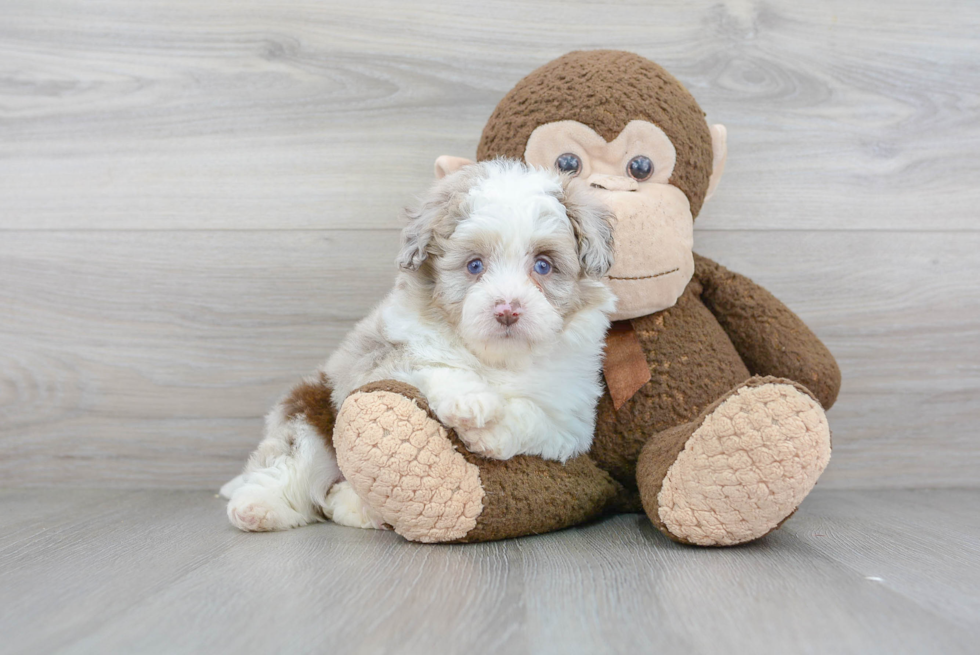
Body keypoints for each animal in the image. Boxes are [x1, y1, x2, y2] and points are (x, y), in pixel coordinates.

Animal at [222, 159, 612, 532]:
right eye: (475, 265)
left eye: (543, 265)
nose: (507, 310)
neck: (496, 359)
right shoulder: (380, 357)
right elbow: (428, 365)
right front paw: (469, 400)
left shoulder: (572, 421)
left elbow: (537, 416)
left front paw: (491, 431)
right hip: (310, 412)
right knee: (290, 462)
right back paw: (256, 507)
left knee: (333, 495)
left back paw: (361, 509)